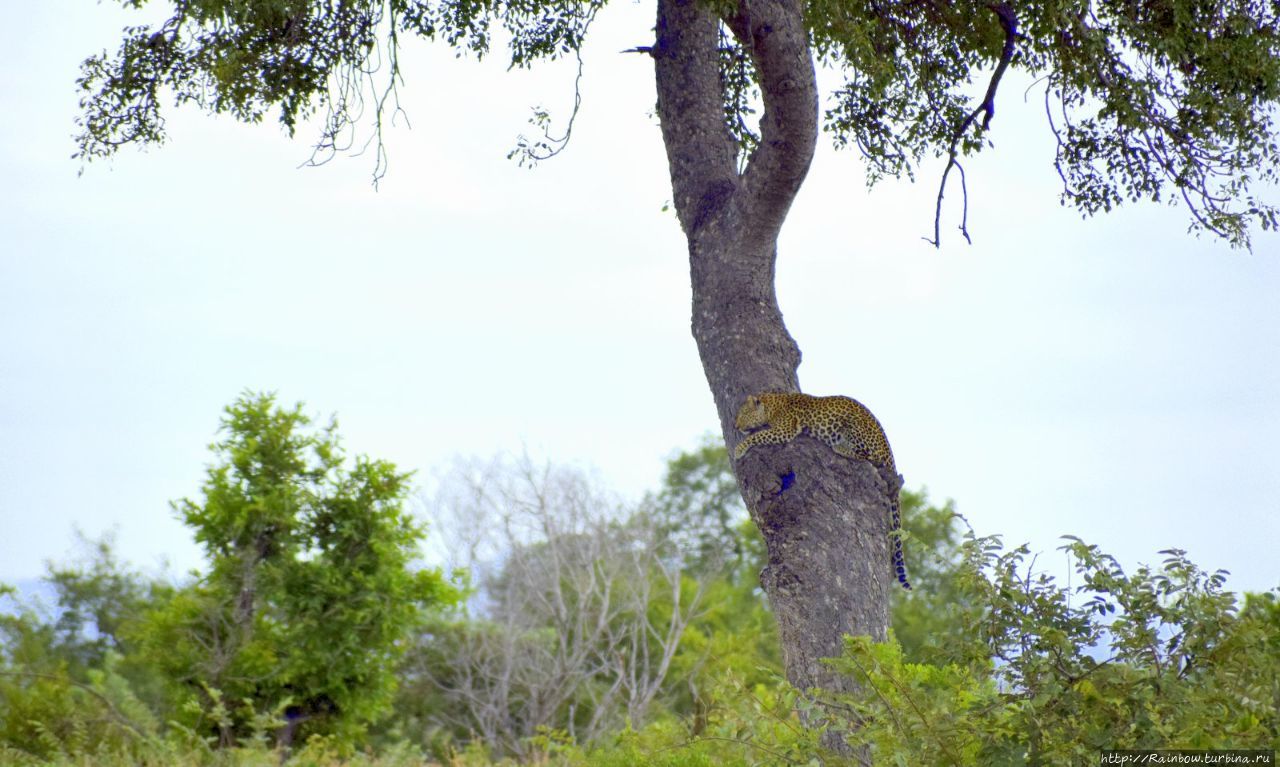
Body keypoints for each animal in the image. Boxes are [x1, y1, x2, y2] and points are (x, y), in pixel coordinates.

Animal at [732, 394, 911, 591]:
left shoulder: (784, 429)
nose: (736, 426)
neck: (772, 404)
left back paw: (839, 447)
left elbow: (758, 435)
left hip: (853, 427)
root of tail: (889, 450)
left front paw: (739, 449)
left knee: (869, 457)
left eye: (743, 414)